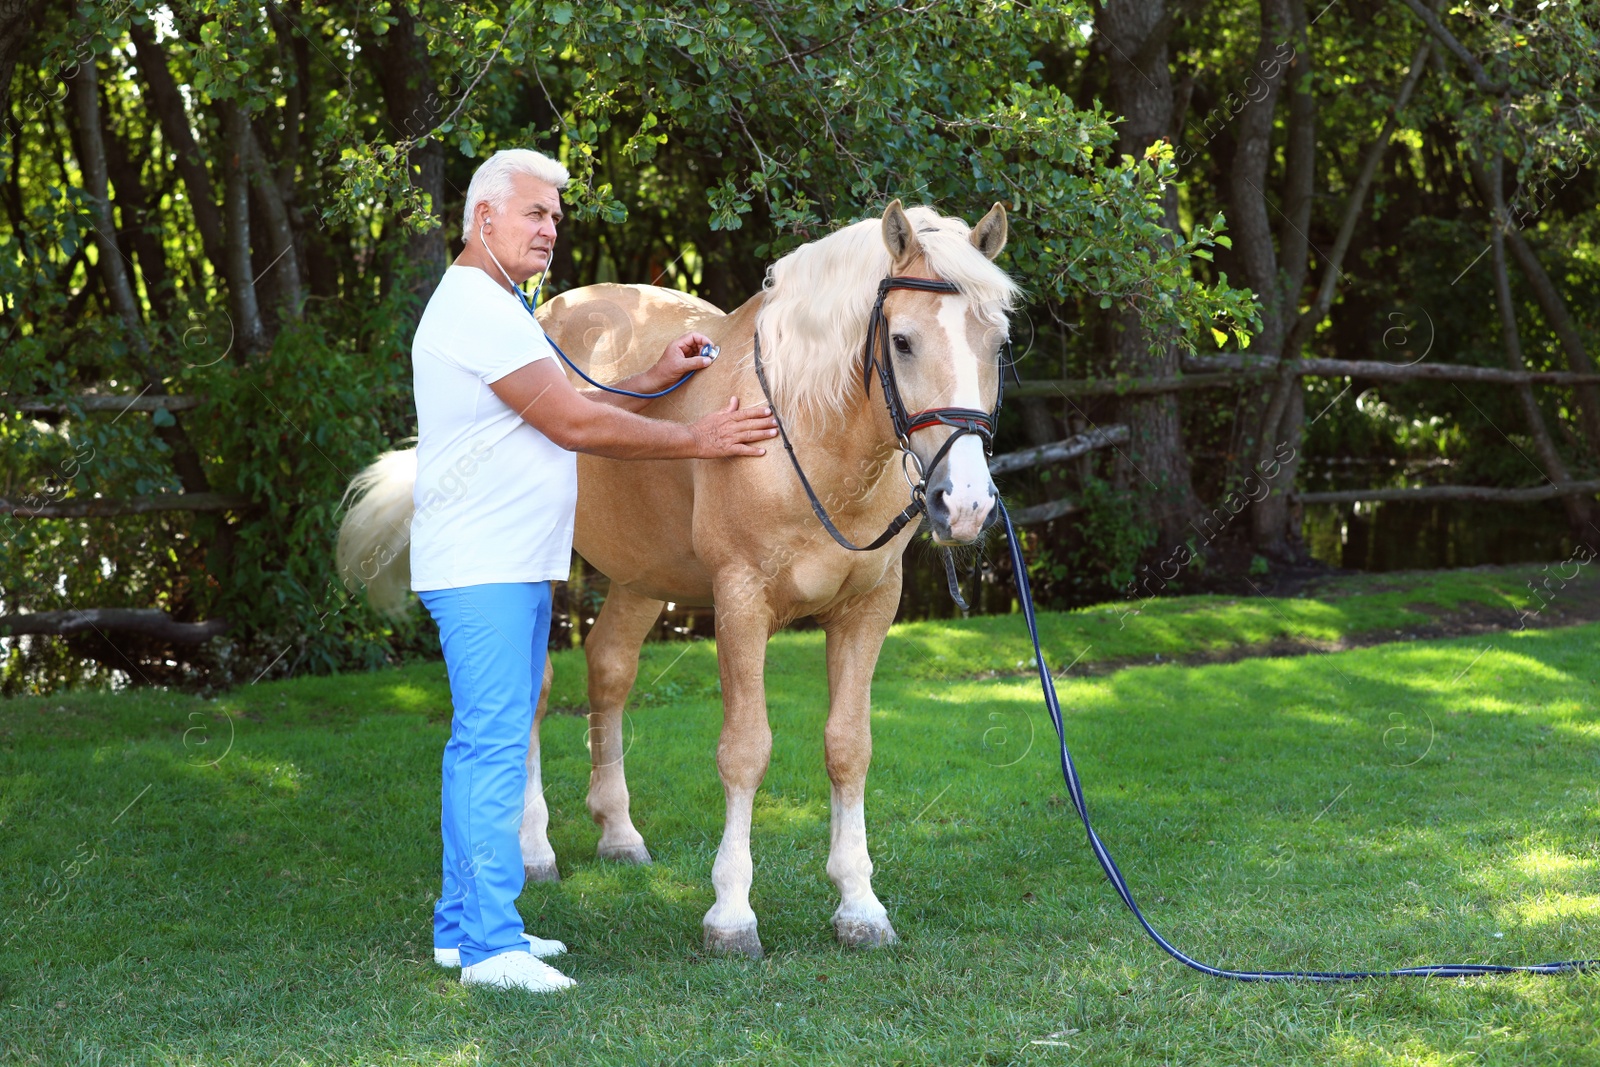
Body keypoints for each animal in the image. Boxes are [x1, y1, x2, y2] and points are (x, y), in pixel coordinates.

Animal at [342, 202, 1017, 959]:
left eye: (998, 342)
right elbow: (745, 751)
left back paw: (618, 832)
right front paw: (731, 913)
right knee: (534, 692)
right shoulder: (740, 602)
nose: (965, 503)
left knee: (608, 669)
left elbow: (849, 748)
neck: (806, 432)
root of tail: (550, 313)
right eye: (901, 341)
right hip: (542, 573)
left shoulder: (869, 606)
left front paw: (859, 905)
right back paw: (534, 847)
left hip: (641, 576)